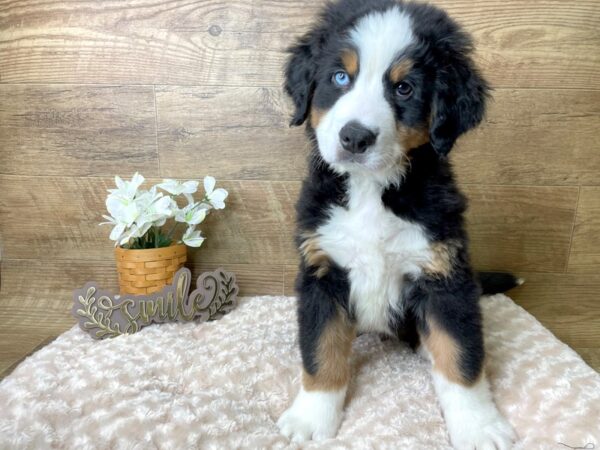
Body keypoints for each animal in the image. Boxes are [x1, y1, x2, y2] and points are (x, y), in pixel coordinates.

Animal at [276, 0, 520, 450]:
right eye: (340, 77)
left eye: (404, 88)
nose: (355, 137)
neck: (373, 189)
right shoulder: (322, 270)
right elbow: (321, 350)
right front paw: (311, 417)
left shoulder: (444, 275)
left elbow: (460, 355)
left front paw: (478, 425)